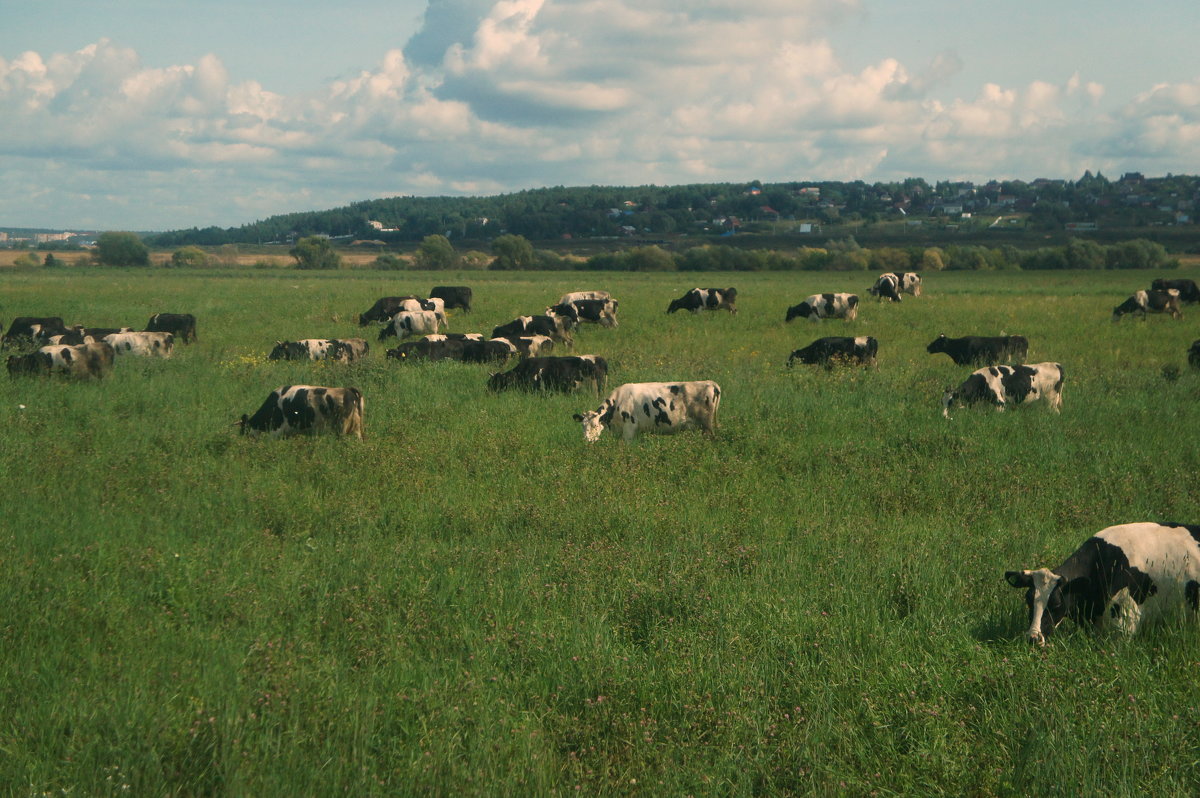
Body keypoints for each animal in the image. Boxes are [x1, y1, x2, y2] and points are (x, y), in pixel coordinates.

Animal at [571, 379, 720, 441]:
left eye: (595, 426)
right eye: (583, 426)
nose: (587, 441)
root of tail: (710, 383)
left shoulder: (629, 428)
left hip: (707, 425)